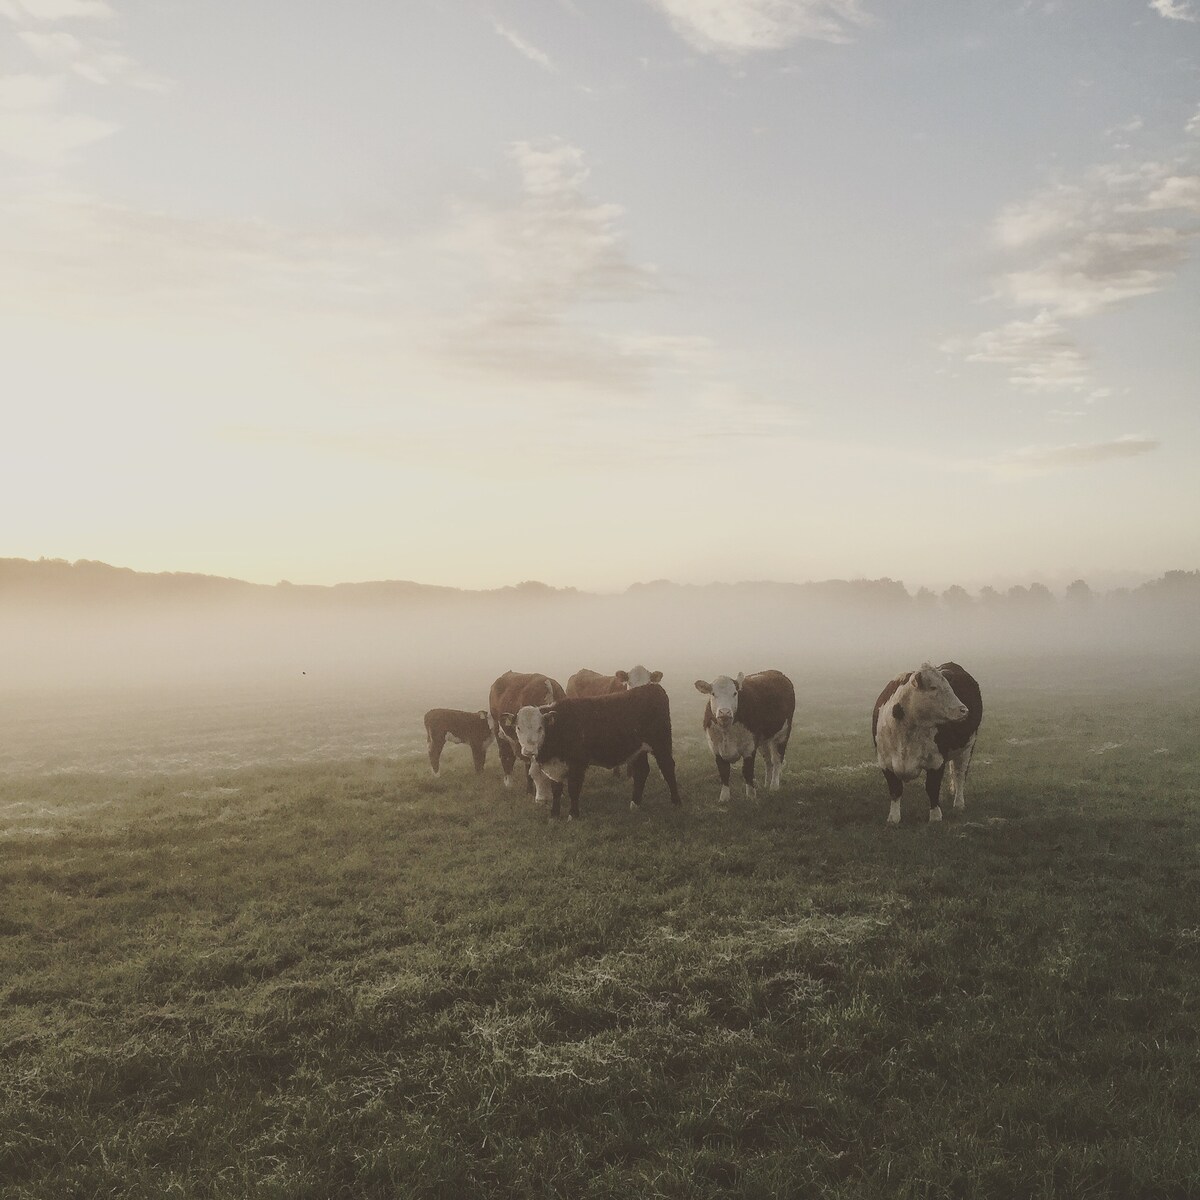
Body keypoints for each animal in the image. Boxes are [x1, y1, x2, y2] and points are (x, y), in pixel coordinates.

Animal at [499, 681, 686, 820]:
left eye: (540, 727)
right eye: (518, 728)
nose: (529, 750)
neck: (560, 726)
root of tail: (652, 687)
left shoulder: (577, 763)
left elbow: (573, 788)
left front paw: (573, 815)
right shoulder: (555, 765)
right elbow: (557, 789)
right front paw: (554, 814)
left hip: (661, 743)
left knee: (668, 768)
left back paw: (676, 802)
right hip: (638, 750)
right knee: (642, 772)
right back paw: (635, 804)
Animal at [696, 672, 796, 801]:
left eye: (735, 693)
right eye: (713, 693)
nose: (724, 712)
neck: (727, 731)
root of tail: (775, 672)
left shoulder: (749, 747)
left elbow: (747, 771)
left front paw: (751, 796)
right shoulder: (716, 748)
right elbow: (724, 772)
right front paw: (724, 798)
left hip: (782, 734)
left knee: (777, 760)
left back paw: (774, 786)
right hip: (763, 740)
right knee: (768, 760)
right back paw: (766, 784)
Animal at [873, 657, 984, 825]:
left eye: (949, 686)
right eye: (933, 687)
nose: (963, 710)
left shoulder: (937, 760)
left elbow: (932, 787)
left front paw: (935, 816)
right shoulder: (885, 762)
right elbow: (895, 789)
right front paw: (893, 818)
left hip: (967, 747)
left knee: (959, 774)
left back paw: (959, 803)